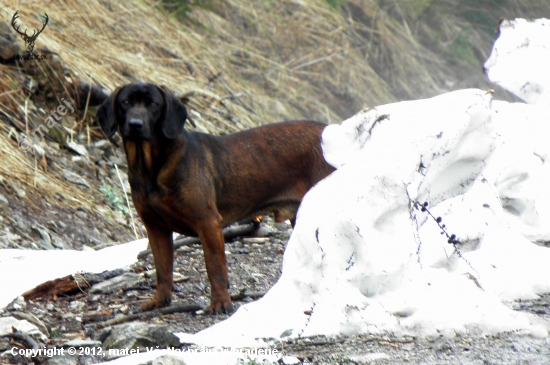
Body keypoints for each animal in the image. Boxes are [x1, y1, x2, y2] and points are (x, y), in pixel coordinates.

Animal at [96, 83, 334, 312]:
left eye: (153, 104)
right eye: (125, 102)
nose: (135, 124)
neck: (152, 167)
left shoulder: (208, 223)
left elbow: (215, 268)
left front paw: (220, 303)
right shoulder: (156, 228)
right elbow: (162, 271)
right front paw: (159, 301)